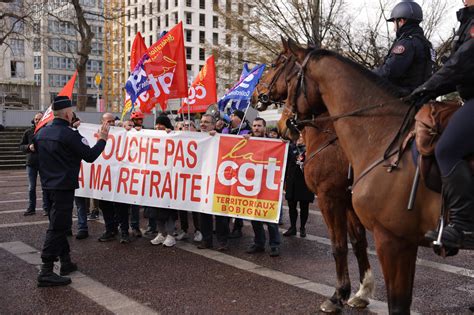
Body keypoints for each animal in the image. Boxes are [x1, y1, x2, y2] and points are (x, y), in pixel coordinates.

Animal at [254, 39, 372, 314]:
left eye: (274, 64)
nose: (255, 94)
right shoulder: (347, 200)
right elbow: (358, 241)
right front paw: (362, 292)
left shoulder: (330, 197)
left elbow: (338, 245)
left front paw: (338, 295)